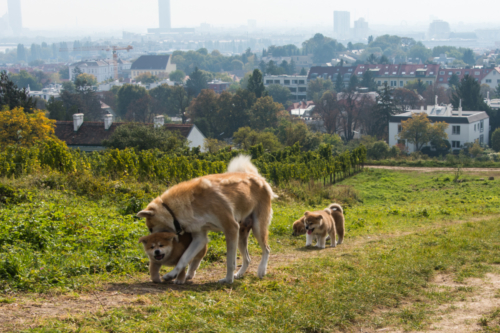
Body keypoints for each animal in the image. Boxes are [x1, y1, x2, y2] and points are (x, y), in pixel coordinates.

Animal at [137, 155, 276, 282]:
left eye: (150, 228)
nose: (150, 242)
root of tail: (259, 178)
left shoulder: (231, 228)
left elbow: (230, 261)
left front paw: (228, 280)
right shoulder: (200, 237)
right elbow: (184, 258)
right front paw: (171, 274)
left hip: (257, 228)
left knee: (267, 249)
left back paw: (261, 270)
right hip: (241, 235)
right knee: (247, 258)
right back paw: (239, 274)